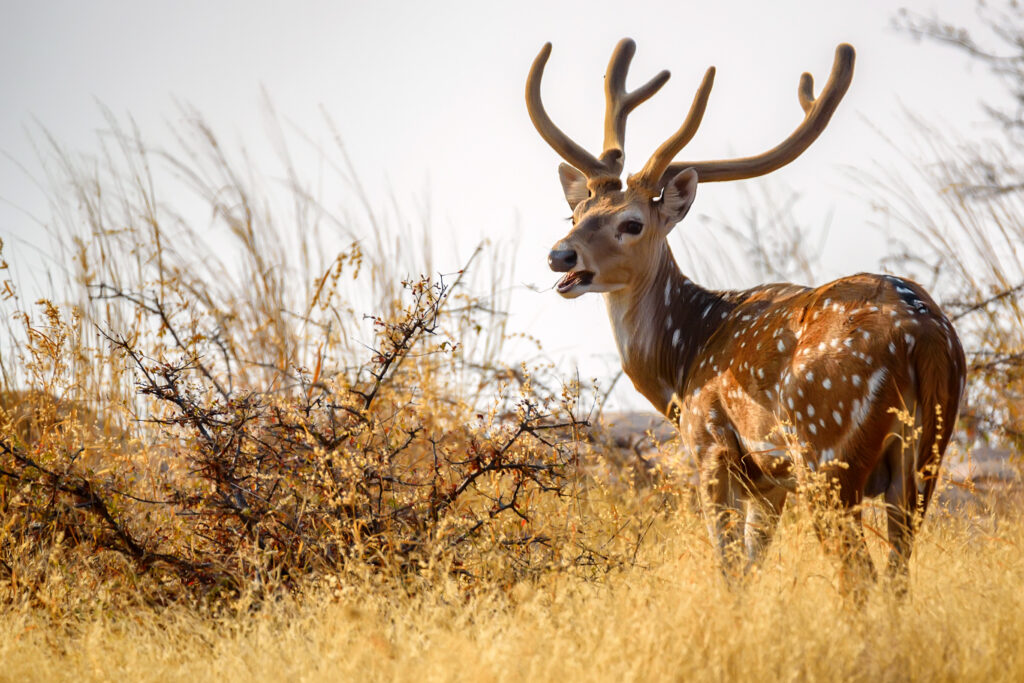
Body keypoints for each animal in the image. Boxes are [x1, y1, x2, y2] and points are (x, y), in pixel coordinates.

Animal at [525, 39, 966, 594]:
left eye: (632, 223)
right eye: (576, 213)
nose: (560, 255)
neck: (683, 363)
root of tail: (923, 335)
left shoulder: (712, 445)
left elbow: (731, 568)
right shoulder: (770, 483)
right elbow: (754, 565)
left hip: (825, 449)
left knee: (858, 577)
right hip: (925, 460)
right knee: (897, 577)